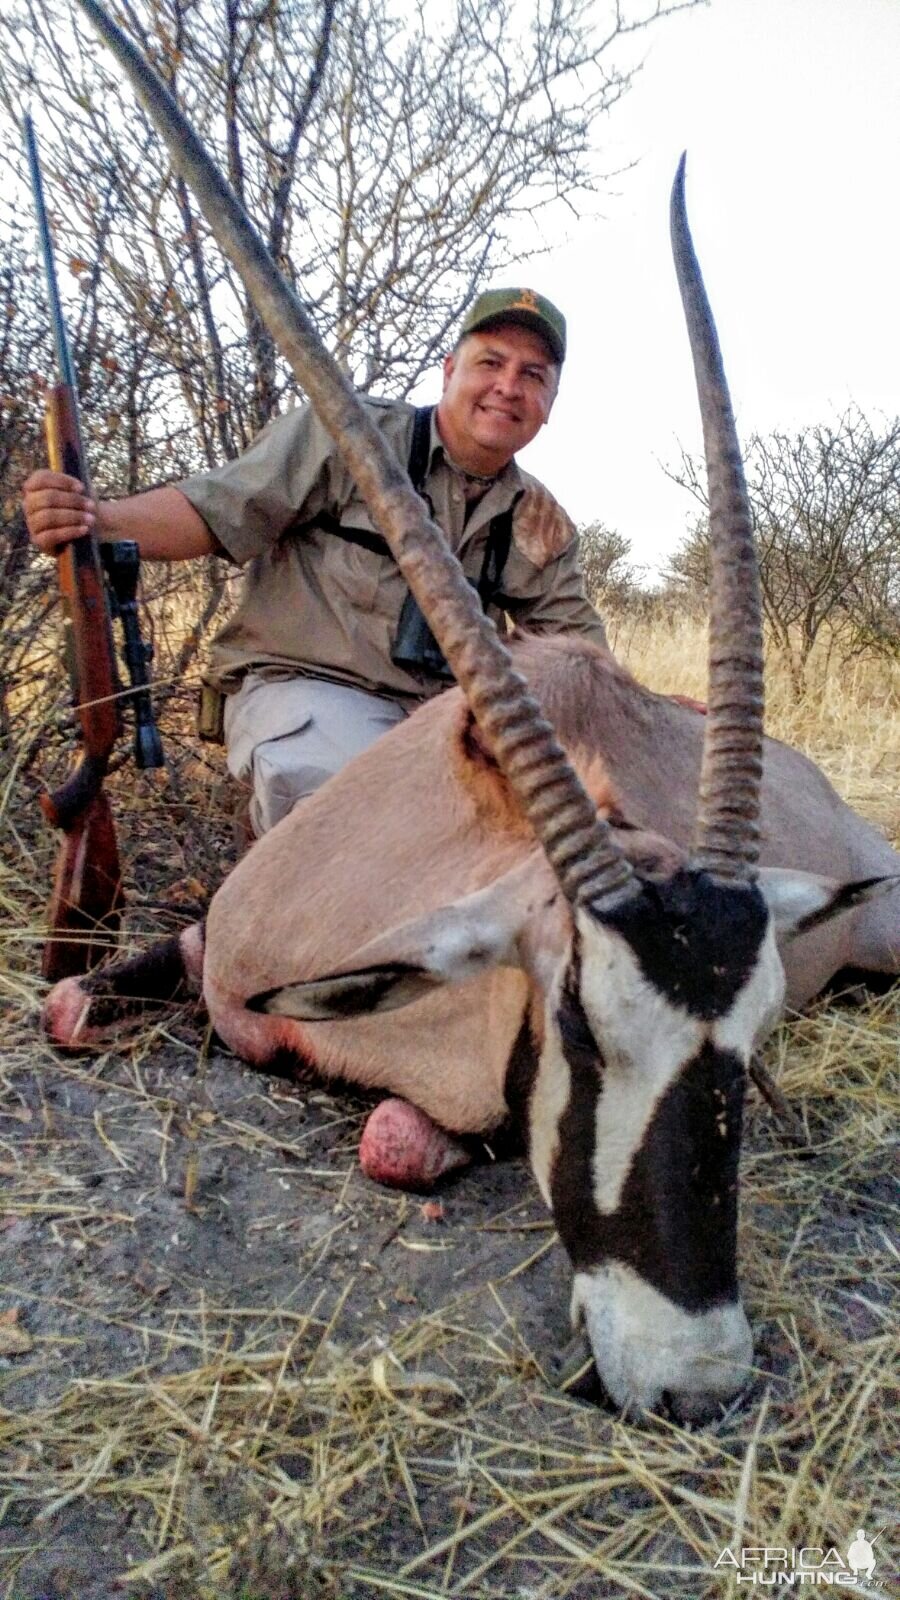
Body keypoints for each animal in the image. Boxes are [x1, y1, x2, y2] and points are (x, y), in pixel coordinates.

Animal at [54, 0, 890, 1427]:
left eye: (754, 1036)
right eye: (582, 1028)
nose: (696, 1379)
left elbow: (401, 1138)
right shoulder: (208, 939)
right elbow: (70, 1005)